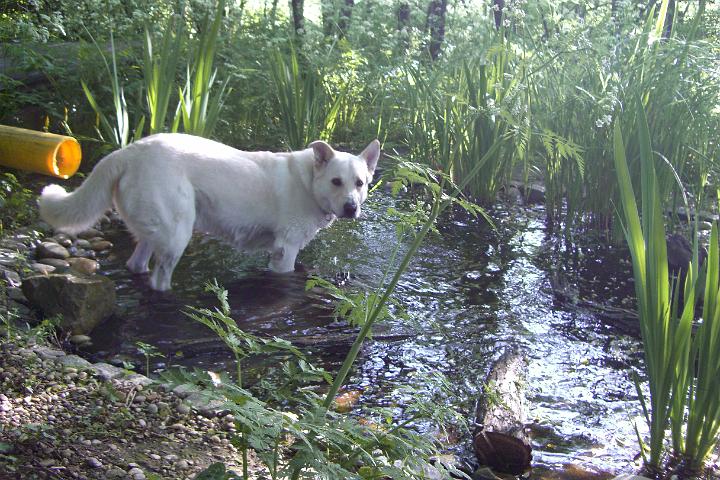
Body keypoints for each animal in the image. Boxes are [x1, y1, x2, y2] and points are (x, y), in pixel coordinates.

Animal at [39, 133, 380, 290]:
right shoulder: (285, 250)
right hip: (177, 234)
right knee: (159, 279)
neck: (309, 182)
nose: (351, 208)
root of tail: (130, 150)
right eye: (336, 181)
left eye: (359, 183)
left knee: (136, 264)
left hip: (155, 230)